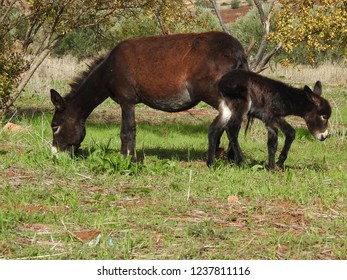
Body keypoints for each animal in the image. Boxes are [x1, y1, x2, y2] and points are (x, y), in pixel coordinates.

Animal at [49, 31, 250, 165]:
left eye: (55, 127)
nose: (54, 154)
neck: (108, 69)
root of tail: (237, 50)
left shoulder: (126, 101)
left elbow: (127, 131)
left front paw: (127, 160)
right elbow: (127, 131)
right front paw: (126, 158)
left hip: (216, 95)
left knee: (230, 123)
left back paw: (232, 159)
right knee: (234, 122)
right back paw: (228, 157)